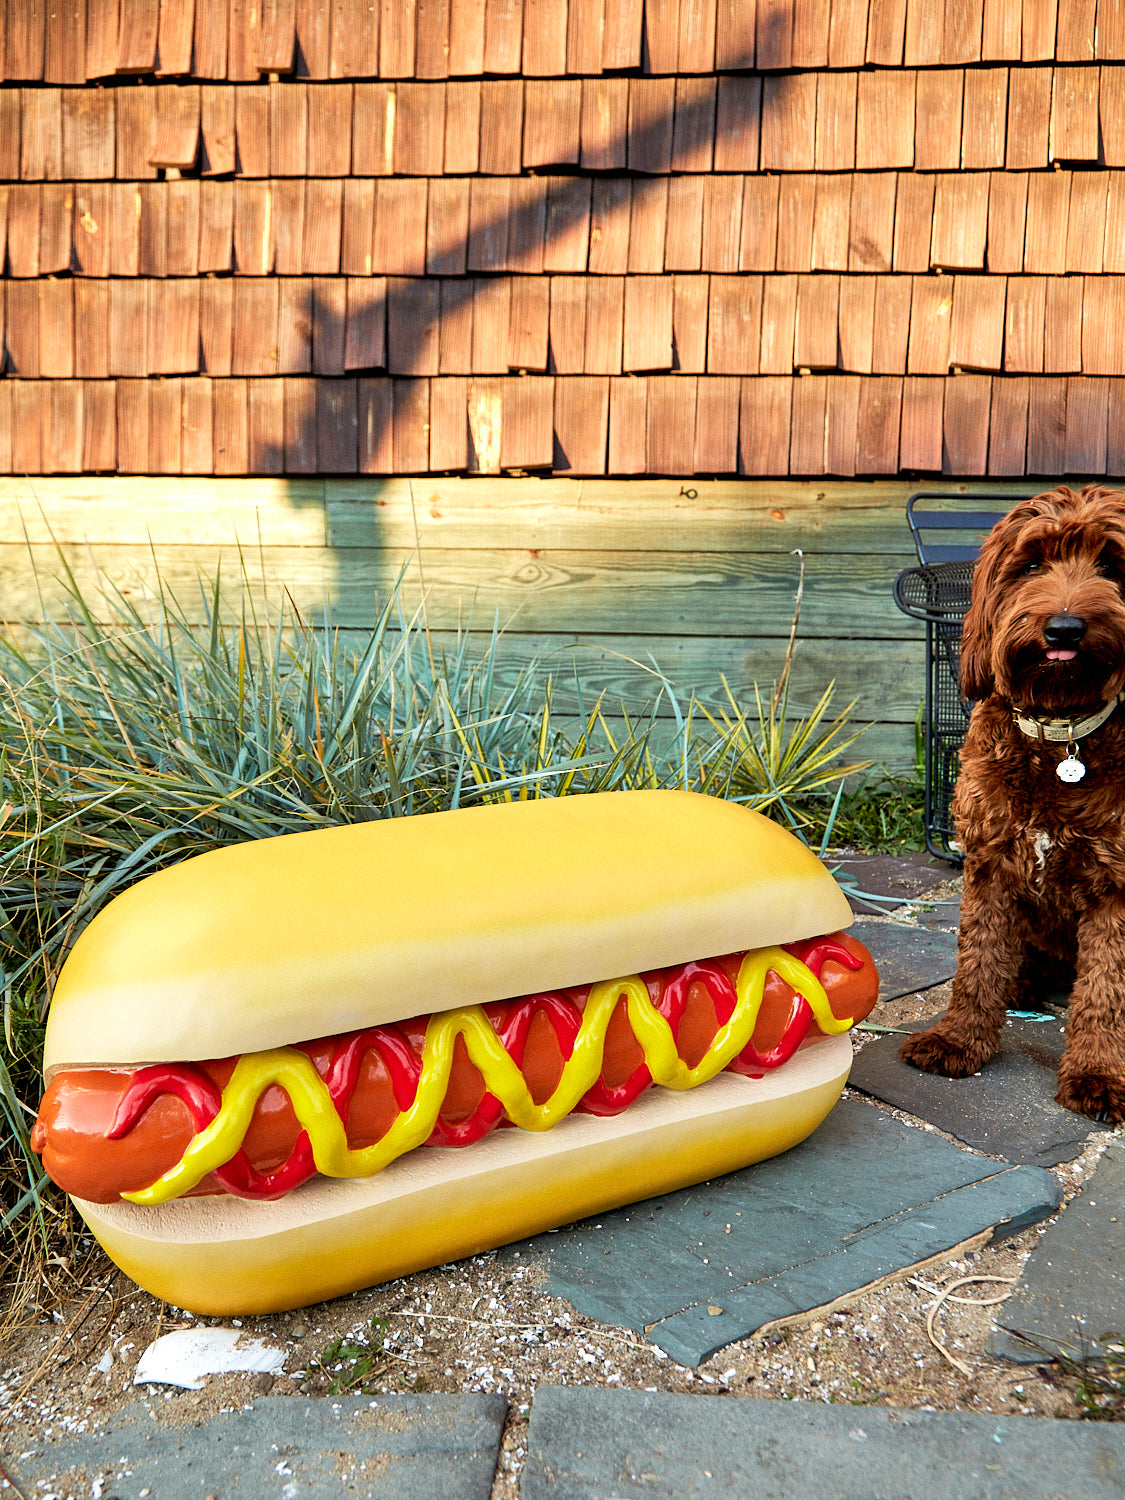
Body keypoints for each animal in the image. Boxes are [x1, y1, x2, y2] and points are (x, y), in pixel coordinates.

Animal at [906, 486, 1125, 1122]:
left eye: (1113, 565)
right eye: (1031, 566)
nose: (1064, 629)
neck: (1061, 738)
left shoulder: (1117, 885)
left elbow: (1105, 989)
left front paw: (1098, 1073)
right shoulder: (990, 862)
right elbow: (978, 960)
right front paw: (958, 1039)